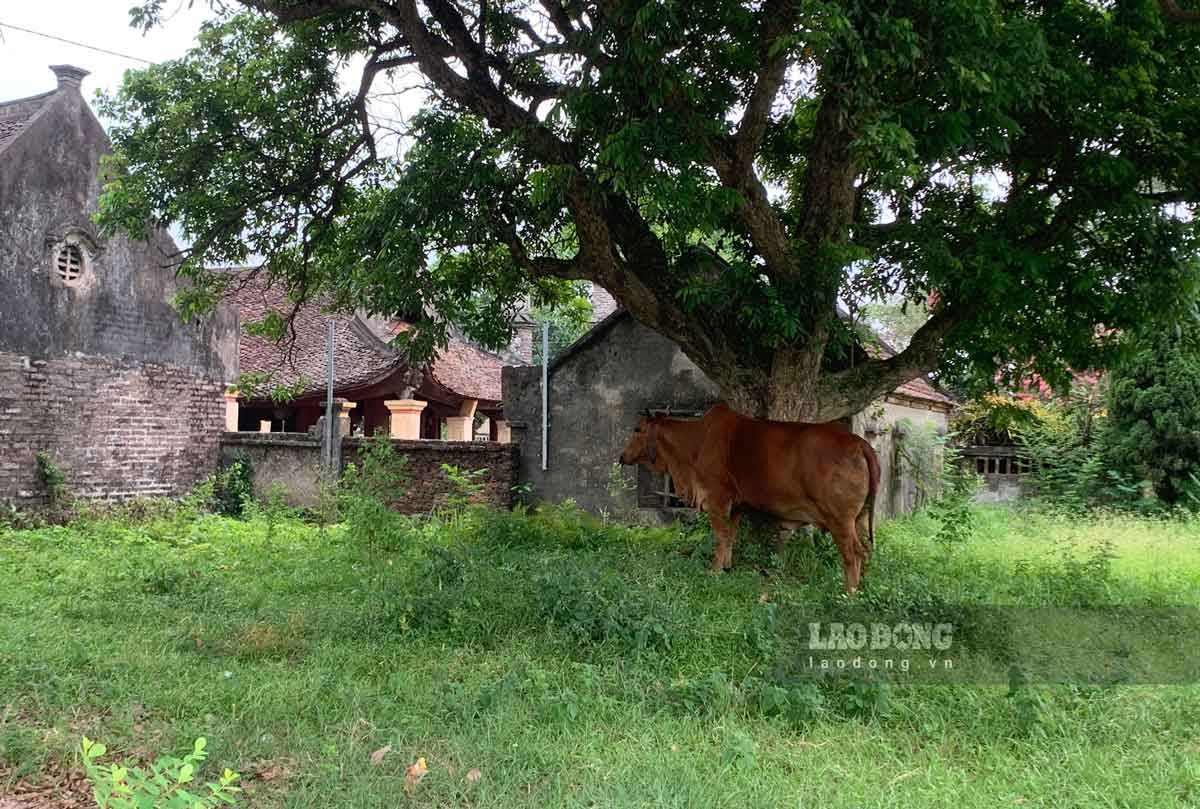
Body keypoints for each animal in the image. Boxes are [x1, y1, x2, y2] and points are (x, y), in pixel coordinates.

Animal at [624, 403, 878, 592]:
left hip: (840, 521)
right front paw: (727, 567)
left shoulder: (717, 500)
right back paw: (864, 587)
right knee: (867, 549)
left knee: (853, 553)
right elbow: (731, 536)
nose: (621, 456)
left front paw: (714, 571)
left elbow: (721, 536)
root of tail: (860, 443)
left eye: (637, 429)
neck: (695, 443)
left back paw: (849, 594)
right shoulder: (737, 506)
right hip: (860, 518)